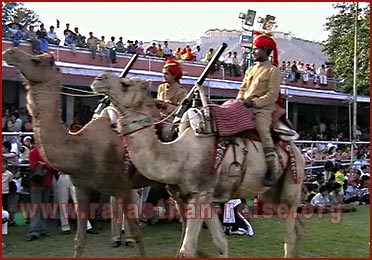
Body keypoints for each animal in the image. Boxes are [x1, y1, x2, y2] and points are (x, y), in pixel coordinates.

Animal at [1, 47, 155, 258]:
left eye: (36, 60)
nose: (10, 52)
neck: (82, 148)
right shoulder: (81, 188)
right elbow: (80, 240)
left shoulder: (123, 187)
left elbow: (138, 236)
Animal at [91, 73, 306, 258]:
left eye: (126, 84)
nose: (99, 78)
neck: (178, 154)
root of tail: (298, 149)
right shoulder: (206, 196)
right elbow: (220, 243)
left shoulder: (199, 193)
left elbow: (186, 250)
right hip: (269, 194)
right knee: (297, 226)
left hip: (292, 183)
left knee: (289, 235)